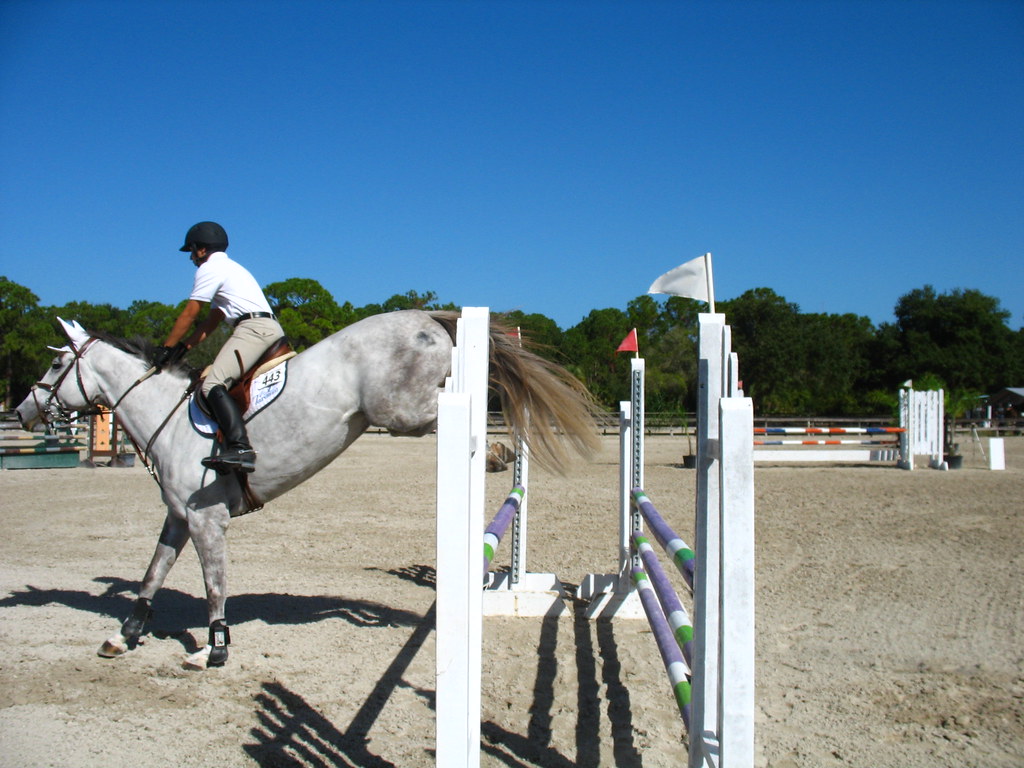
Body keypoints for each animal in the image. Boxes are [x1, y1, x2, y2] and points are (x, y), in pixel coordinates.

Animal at [15, 310, 600, 669]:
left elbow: (213, 585)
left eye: (56, 362)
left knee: (458, 409)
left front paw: (213, 651)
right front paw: (123, 635)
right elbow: (153, 572)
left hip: (398, 410)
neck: (167, 416)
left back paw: (498, 452)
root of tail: (425, 316)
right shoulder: (180, 517)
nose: (22, 411)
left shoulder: (206, 521)